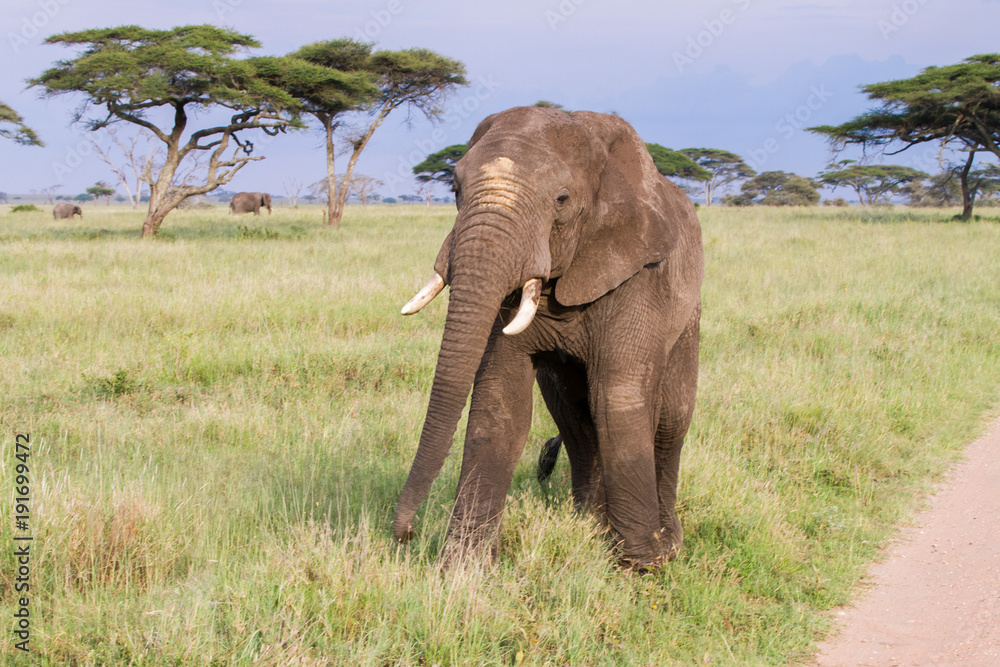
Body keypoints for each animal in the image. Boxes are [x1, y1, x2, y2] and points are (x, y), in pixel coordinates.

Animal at [393, 106, 703, 571]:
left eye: (562, 200)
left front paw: (644, 565)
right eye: (454, 188)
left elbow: (618, 396)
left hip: (688, 316)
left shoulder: (642, 275)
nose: (406, 534)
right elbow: (499, 398)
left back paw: (667, 539)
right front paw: (462, 568)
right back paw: (590, 522)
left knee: (670, 418)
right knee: (574, 417)